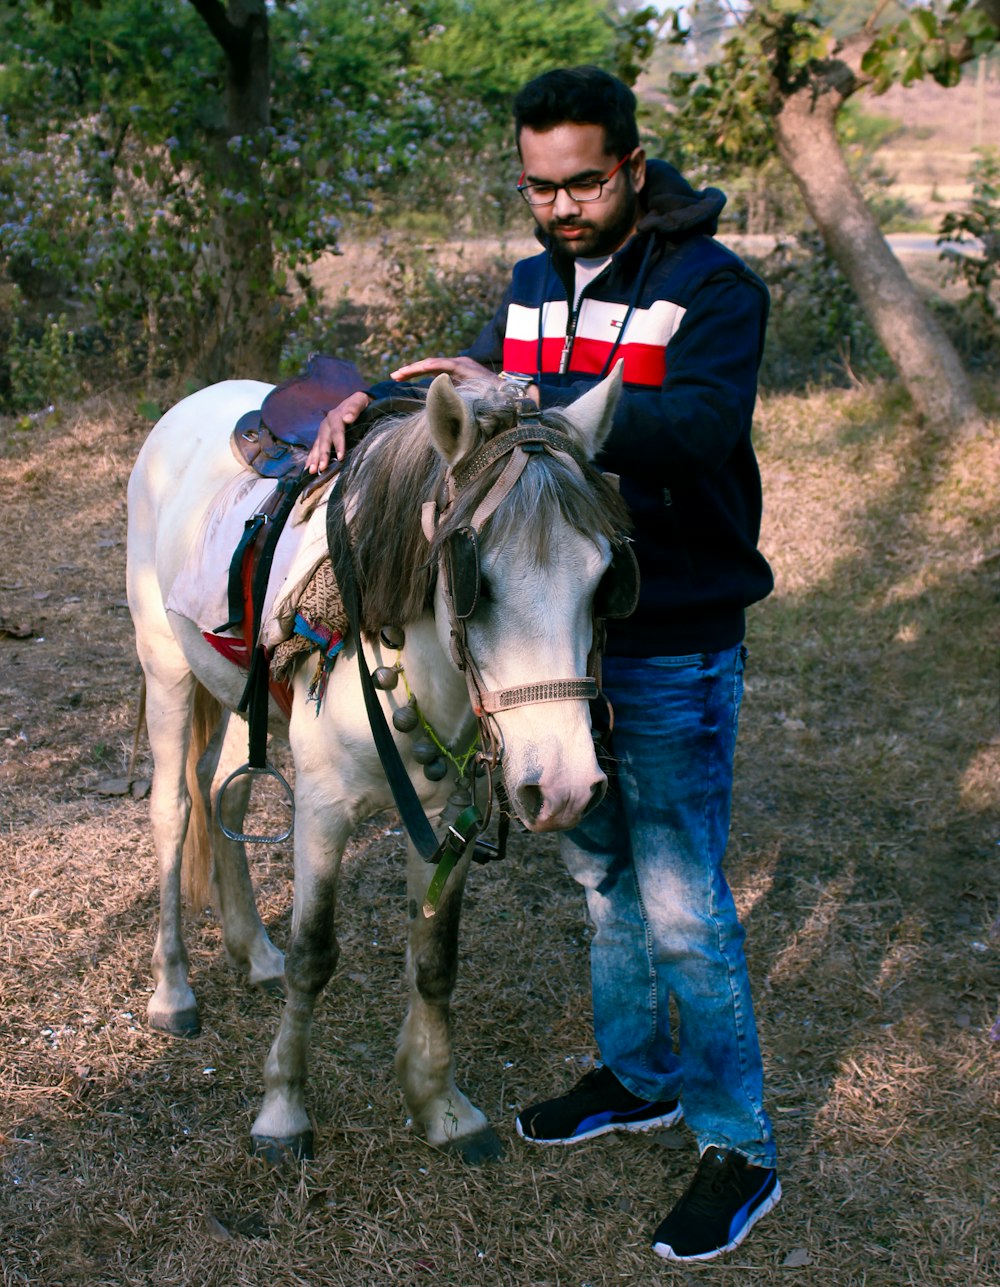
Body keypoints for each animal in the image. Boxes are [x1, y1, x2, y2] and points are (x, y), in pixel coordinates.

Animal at [124, 368, 628, 1163]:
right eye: (476, 578)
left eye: (605, 575)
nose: (567, 787)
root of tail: (197, 398)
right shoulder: (322, 811)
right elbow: (315, 954)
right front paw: (283, 1110)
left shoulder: (448, 820)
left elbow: (435, 961)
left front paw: (440, 1104)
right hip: (166, 666)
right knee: (174, 812)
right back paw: (172, 991)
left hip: (242, 695)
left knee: (222, 797)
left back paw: (252, 952)